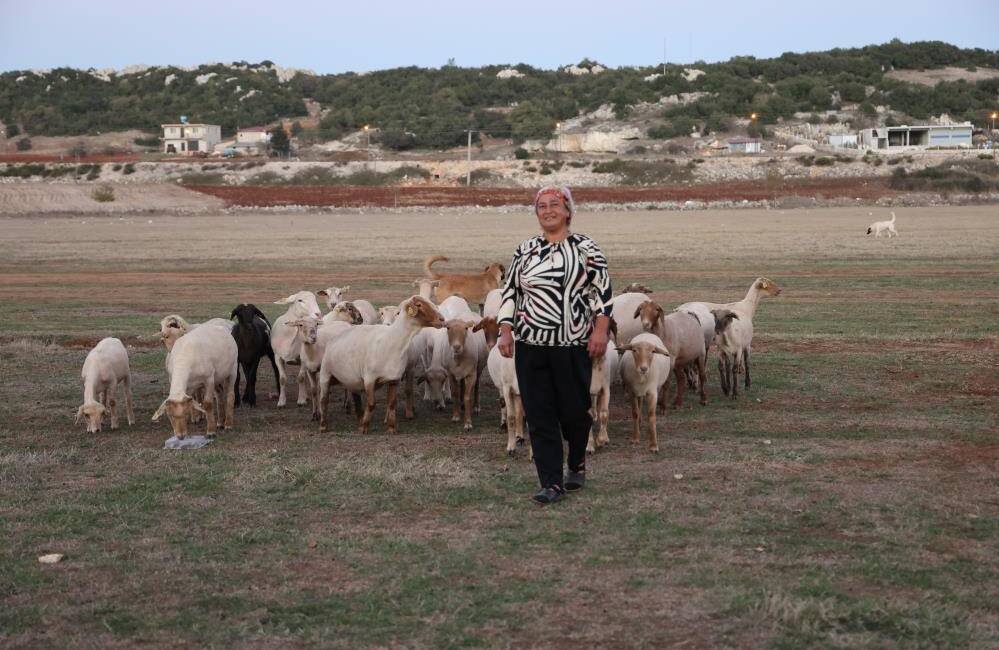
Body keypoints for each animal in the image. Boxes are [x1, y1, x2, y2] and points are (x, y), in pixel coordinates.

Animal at [316, 296, 446, 432]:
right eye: (419, 305)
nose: (442, 319)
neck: (392, 341)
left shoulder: (393, 380)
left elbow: (392, 403)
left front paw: (391, 428)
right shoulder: (369, 379)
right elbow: (371, 404)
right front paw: (364, 428)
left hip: (352, 380)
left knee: (356, 400)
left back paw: (359, 421)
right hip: (325, 374)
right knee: (324, 400)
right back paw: (323, 426)